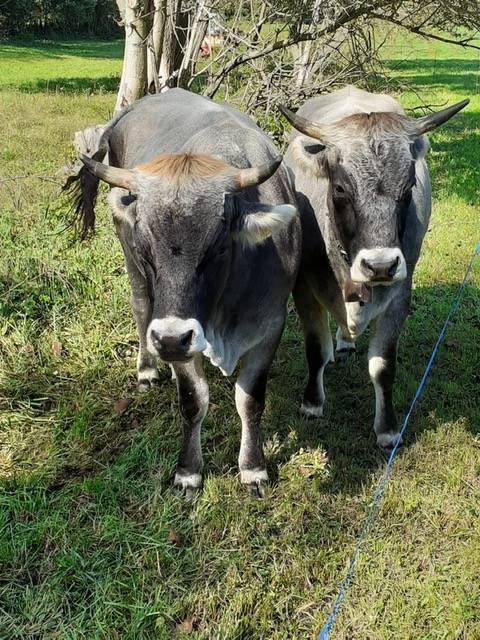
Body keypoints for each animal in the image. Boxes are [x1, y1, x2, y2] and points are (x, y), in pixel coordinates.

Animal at [66, 89, 300, 496]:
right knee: (141, 308)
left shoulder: (270, 326)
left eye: (218, 247)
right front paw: (188, 471)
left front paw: (253, 468)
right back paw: (147, 369)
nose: (172, 340)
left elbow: (250, 400)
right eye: (146, 247)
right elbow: (193, 400)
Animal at [280, 86, 470, 450]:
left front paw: (387, 428)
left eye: (408, 187)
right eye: (340, 188)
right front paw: (312, 402)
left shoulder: (400, 294)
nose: (380, 265)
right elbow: (315, 349)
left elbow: (383, 366)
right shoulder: (304, 288)